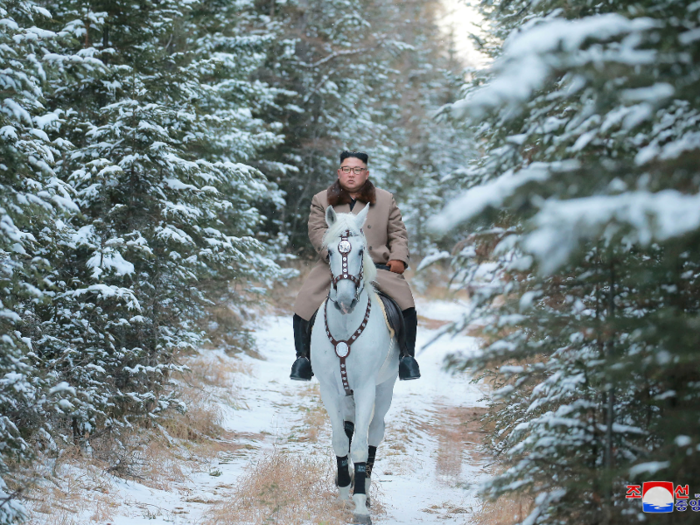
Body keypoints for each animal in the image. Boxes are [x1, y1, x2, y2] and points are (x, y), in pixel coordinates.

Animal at [312, 205, 400, 524]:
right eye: (329, 252)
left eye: (362, 251)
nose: (346, 300)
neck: (345, 326)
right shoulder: (329, 389)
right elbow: (341, 440)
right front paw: (342, 491)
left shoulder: (365, 390)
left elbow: (361, 445)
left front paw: (360, 505)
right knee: (350, 429)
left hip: (385, 388)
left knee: (374, 432)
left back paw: (366, 488)